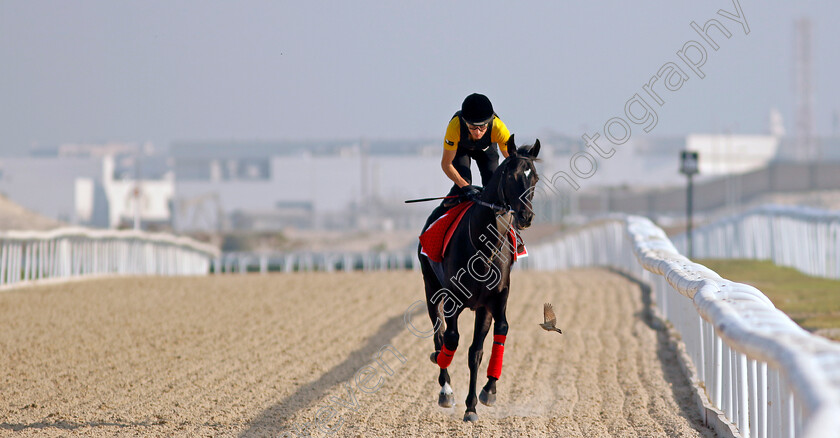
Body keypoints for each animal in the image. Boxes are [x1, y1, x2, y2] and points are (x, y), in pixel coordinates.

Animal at [416, 136, 540, 420]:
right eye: (512, 175)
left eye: (536, 178)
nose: (526, 217)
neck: (484, 247)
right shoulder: (453, 300)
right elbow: (450, 339)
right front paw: (447, 385)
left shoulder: (493, 300)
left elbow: (486, 343)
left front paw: (482, 395)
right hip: (431, 289)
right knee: (439, 335)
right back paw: (445, 386)